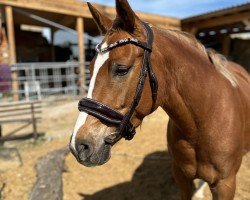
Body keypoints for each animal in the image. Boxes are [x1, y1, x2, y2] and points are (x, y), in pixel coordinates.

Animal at [69, 0, 250, 199]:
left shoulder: (225, 185)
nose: (79, 145)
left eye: (122, 69)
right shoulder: (181, 177)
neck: (201, 125)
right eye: (90, 68)